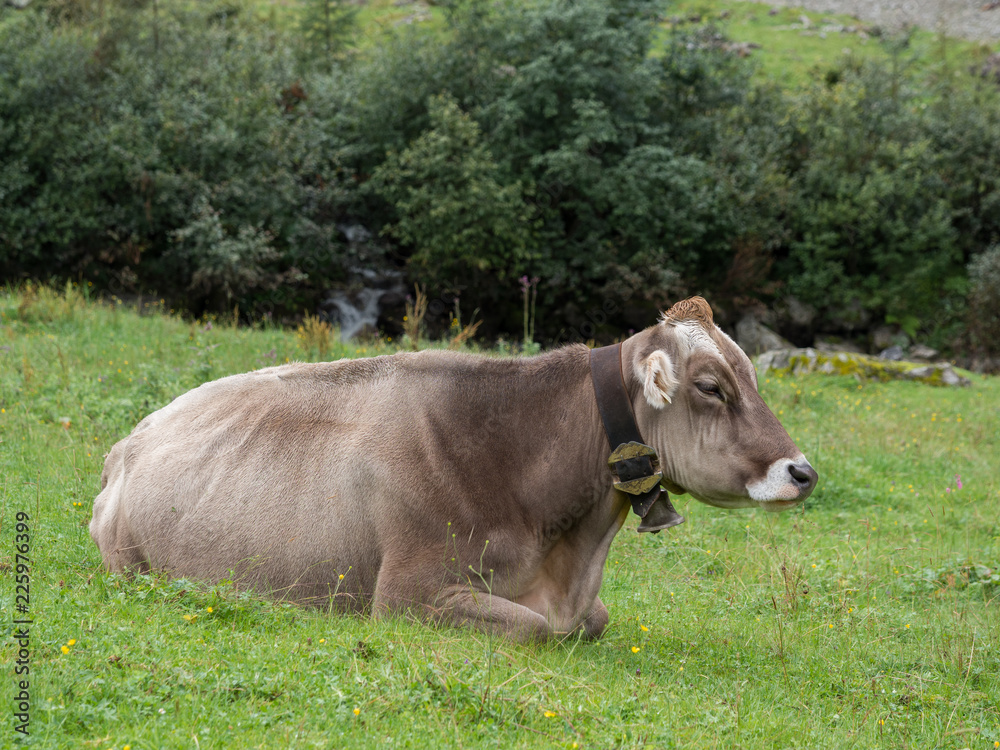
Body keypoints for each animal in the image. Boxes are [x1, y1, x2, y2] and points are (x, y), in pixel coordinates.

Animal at [90, 296, 817, 642]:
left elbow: (594, 620)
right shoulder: (405, 597)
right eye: (711, 387)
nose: (801, 471)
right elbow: (533, 628)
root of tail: (128, 442)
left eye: (752, 375)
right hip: (133, 564)